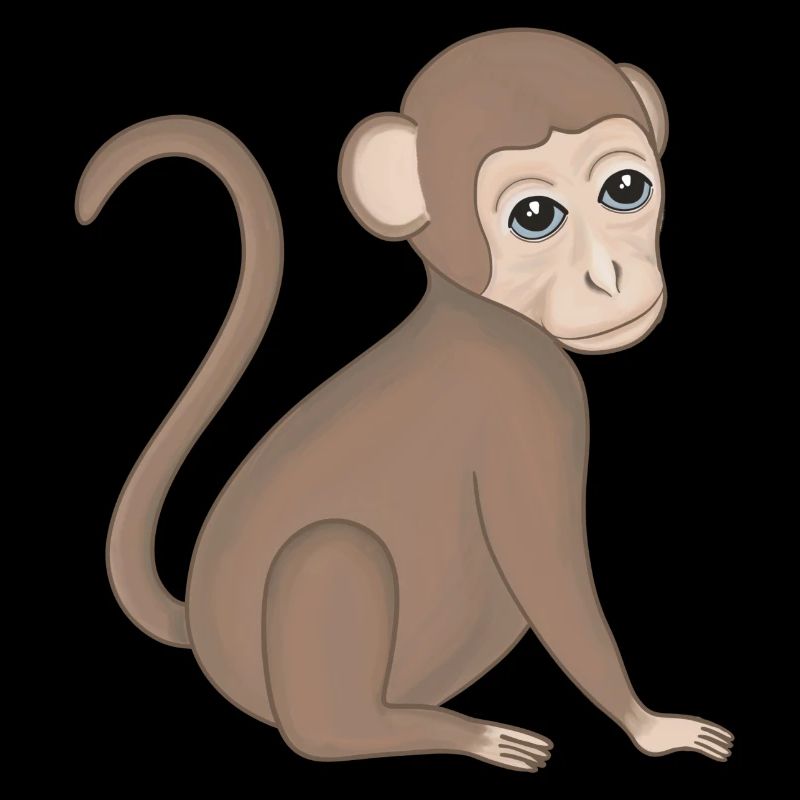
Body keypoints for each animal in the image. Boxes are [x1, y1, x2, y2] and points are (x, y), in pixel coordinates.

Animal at [76, 29, 733, 772]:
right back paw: (459, 734)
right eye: (535, 217)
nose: (609, 277)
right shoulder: (528, 406)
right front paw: (651, 727)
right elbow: (549, 575)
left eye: (626, 188)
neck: (480, 314)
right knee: (331, 595)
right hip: (313, 616)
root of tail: (196, 620)